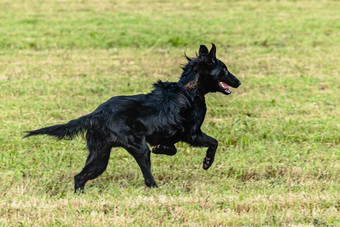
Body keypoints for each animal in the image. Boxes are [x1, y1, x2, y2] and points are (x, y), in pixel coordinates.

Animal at [24, 43, 242, 192]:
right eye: (224, 69)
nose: (239, 82)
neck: (190, 90)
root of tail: (95, 114)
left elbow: (172, 148)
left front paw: (162, 149)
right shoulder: (192, 133)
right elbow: (214, 142)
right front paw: (207, 162)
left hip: (100, 155)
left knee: (79, 177)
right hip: (138, 148)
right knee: (147, 178)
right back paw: (156, 189)